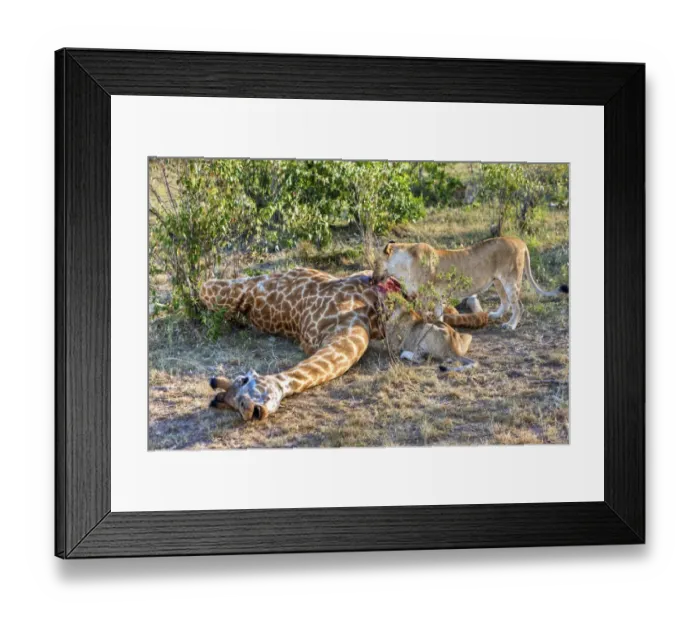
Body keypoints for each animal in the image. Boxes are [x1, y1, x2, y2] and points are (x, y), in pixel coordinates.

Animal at [200, 268, 488, 421]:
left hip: (247, 286)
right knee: (205, 287)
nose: (255, 411)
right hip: (244, 285)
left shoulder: (351, 333)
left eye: (242, 396)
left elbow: (467, 316)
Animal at [377, 237, 568, 330]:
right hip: (497, 281)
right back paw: (494, 315)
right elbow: (438, 314)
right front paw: (441, 327)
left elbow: (423, 314)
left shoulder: (424, 295)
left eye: (375, 263)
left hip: (510, 280)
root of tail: (521, 242)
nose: (372, 277)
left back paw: (510, 325)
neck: (402, 265)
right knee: (505, 302)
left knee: (518, 305)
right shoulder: (437, 295)